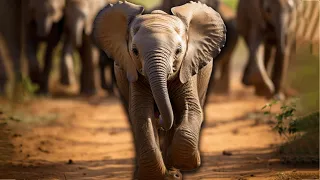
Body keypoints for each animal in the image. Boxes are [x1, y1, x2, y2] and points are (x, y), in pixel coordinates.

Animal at [94, 1, 226, 179]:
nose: (162, 120)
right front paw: (150, 175)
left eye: (178, 51)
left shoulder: (187, 67)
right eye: (135, 51)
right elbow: (141, 114)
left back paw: (173, 171)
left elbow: (190, 108)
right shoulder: (134, 74)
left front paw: (184, 163)